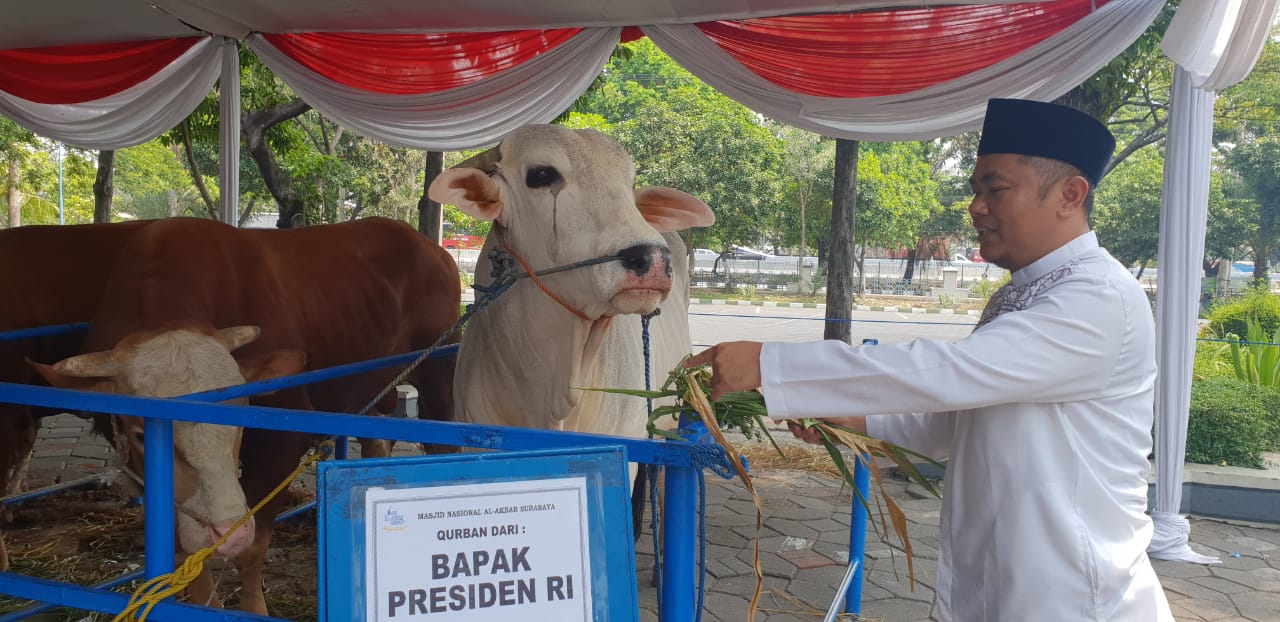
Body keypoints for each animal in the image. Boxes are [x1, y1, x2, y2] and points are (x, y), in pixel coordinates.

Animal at [31, 217, 465, 611]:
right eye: (140, 433)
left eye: (243, 417)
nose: (225, 533)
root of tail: (430, 247)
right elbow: (184, 553)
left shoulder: (281, 444)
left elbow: (254, 547)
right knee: (378, 434)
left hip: (438, 369)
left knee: (442, 442)